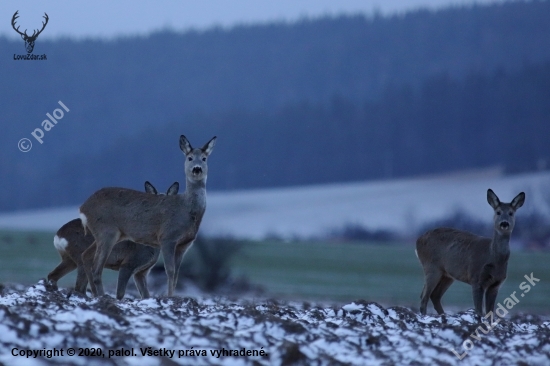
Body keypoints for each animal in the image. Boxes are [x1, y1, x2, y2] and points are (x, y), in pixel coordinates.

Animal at [47, 182, 180, 298]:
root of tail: (58, 236)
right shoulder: (128, 263)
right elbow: (120, 294)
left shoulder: (141, 272)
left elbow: (146, 295)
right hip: (79, 256)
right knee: (79, 285)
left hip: (69, 259)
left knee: (53, 275)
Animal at [80, 134, 218, 298]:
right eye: (189, 158)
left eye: (204, 158)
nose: (197, 169)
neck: (186, 209)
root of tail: (83, 208)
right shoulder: (167, 237)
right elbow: (170, 271)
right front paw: (169, 297)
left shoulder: (184, 245)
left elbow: (177, 275)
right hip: (106, 231)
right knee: (96, 267)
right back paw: (102, 296)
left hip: (105, 234)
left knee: (86, 255)